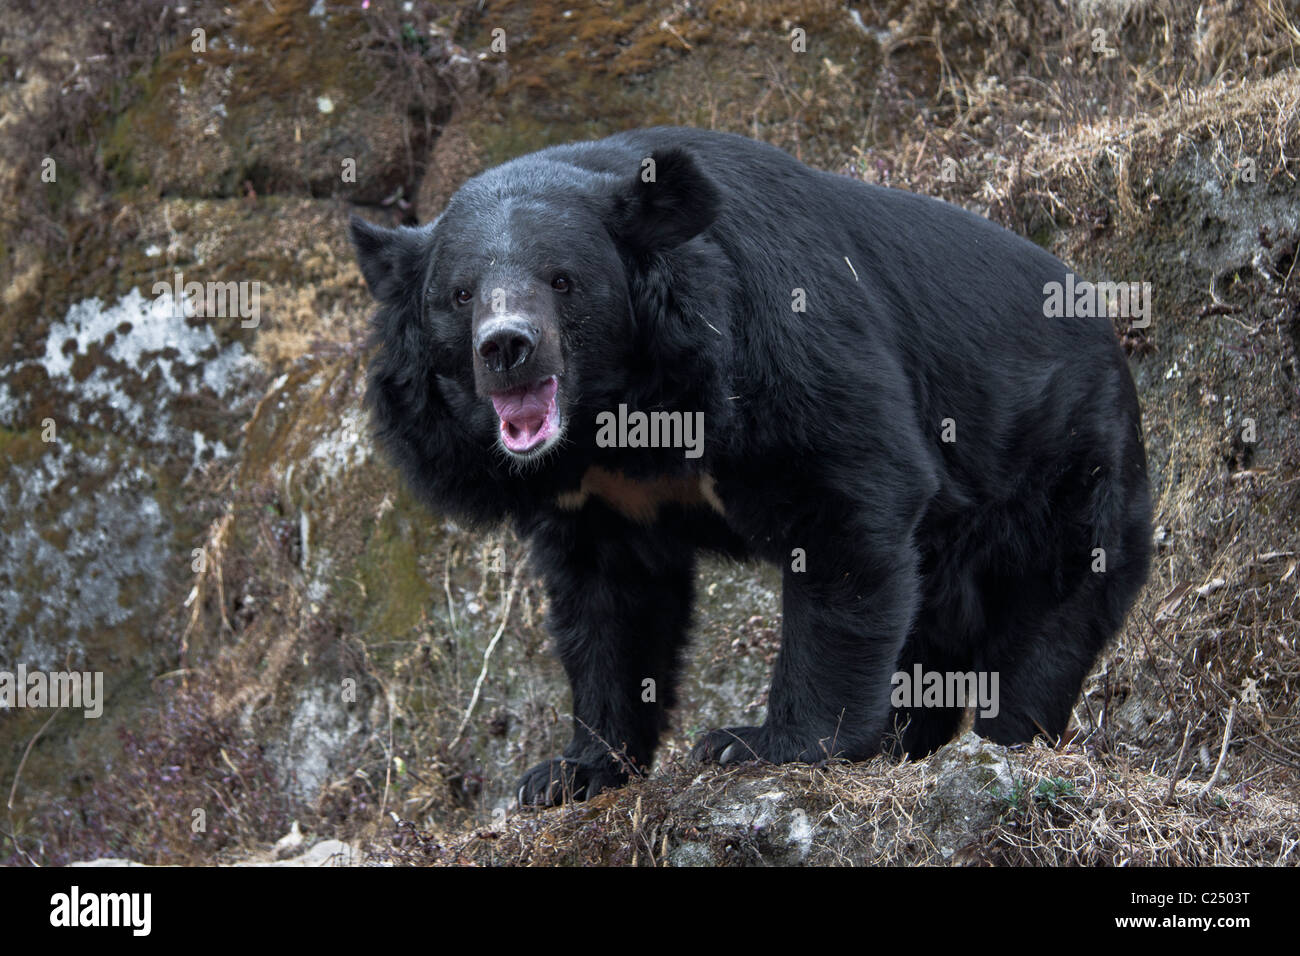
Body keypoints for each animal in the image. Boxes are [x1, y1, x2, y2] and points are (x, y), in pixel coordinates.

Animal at [351, 123, 1154, 806]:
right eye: (460, 294)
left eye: (561, 280)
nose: (506, 347)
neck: (613, 416)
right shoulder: (593, 498)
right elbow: (608, 606)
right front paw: (570, 772)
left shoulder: (773, 345)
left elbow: (850, 502)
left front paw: (760, 745)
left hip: (1066, 473)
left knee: (1043, 628)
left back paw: (1001, 742)